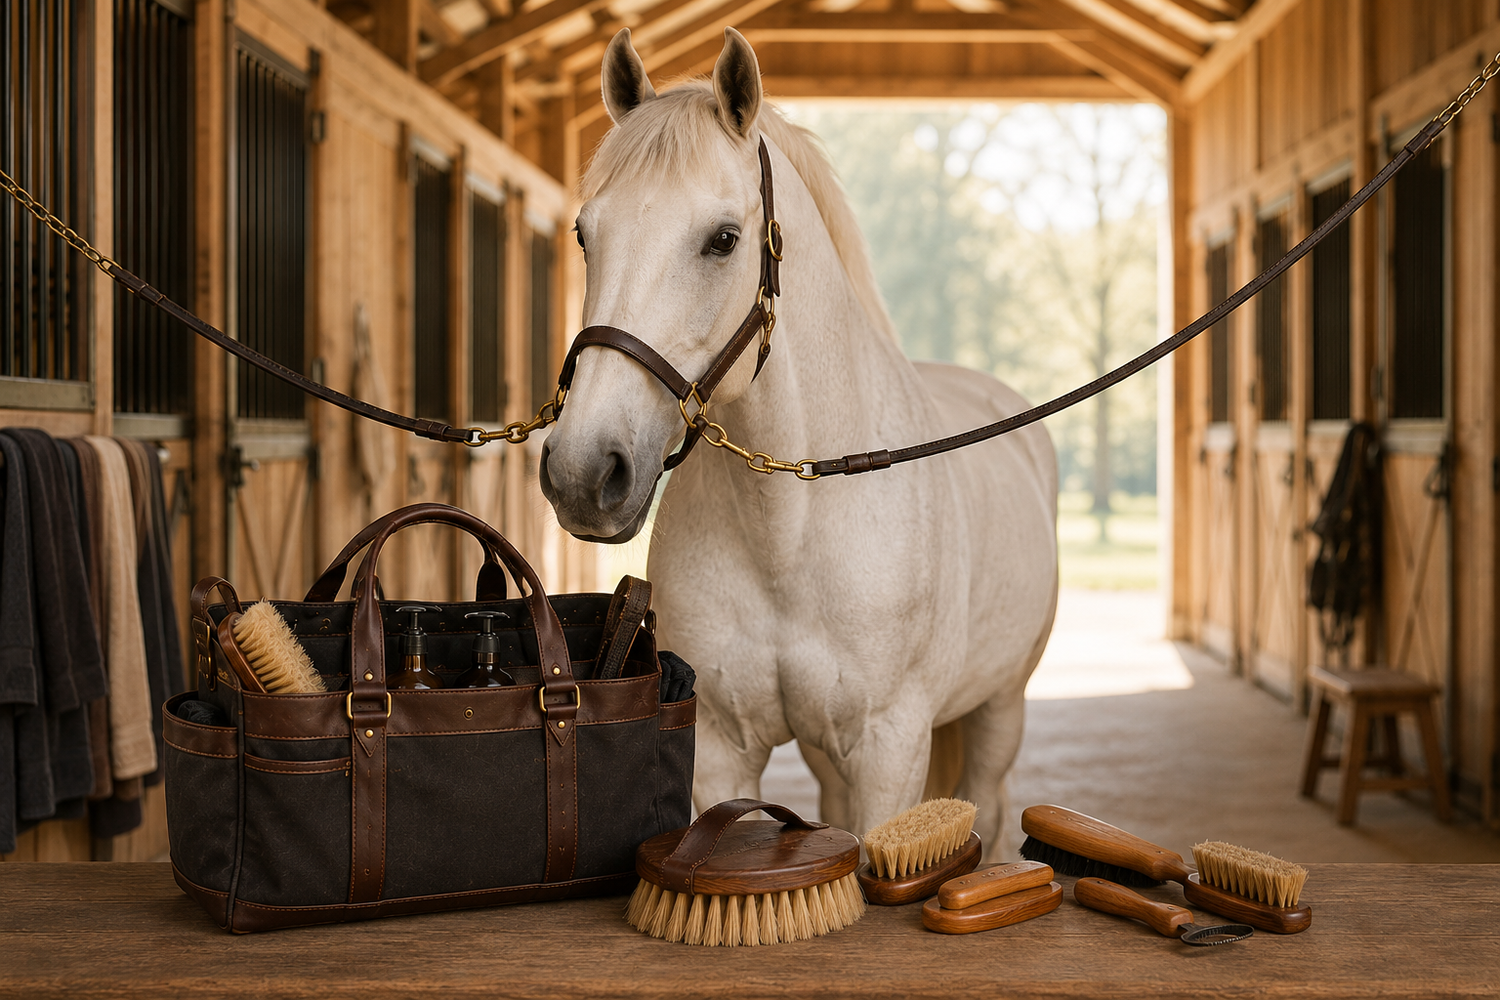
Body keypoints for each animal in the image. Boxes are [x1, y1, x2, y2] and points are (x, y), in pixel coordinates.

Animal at [539, 26, 1058, 857]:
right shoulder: (722, 746)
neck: (787, 535)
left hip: (999, 707)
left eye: (723, 240)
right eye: (587, 234)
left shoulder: (890, 750)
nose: (584, 473)